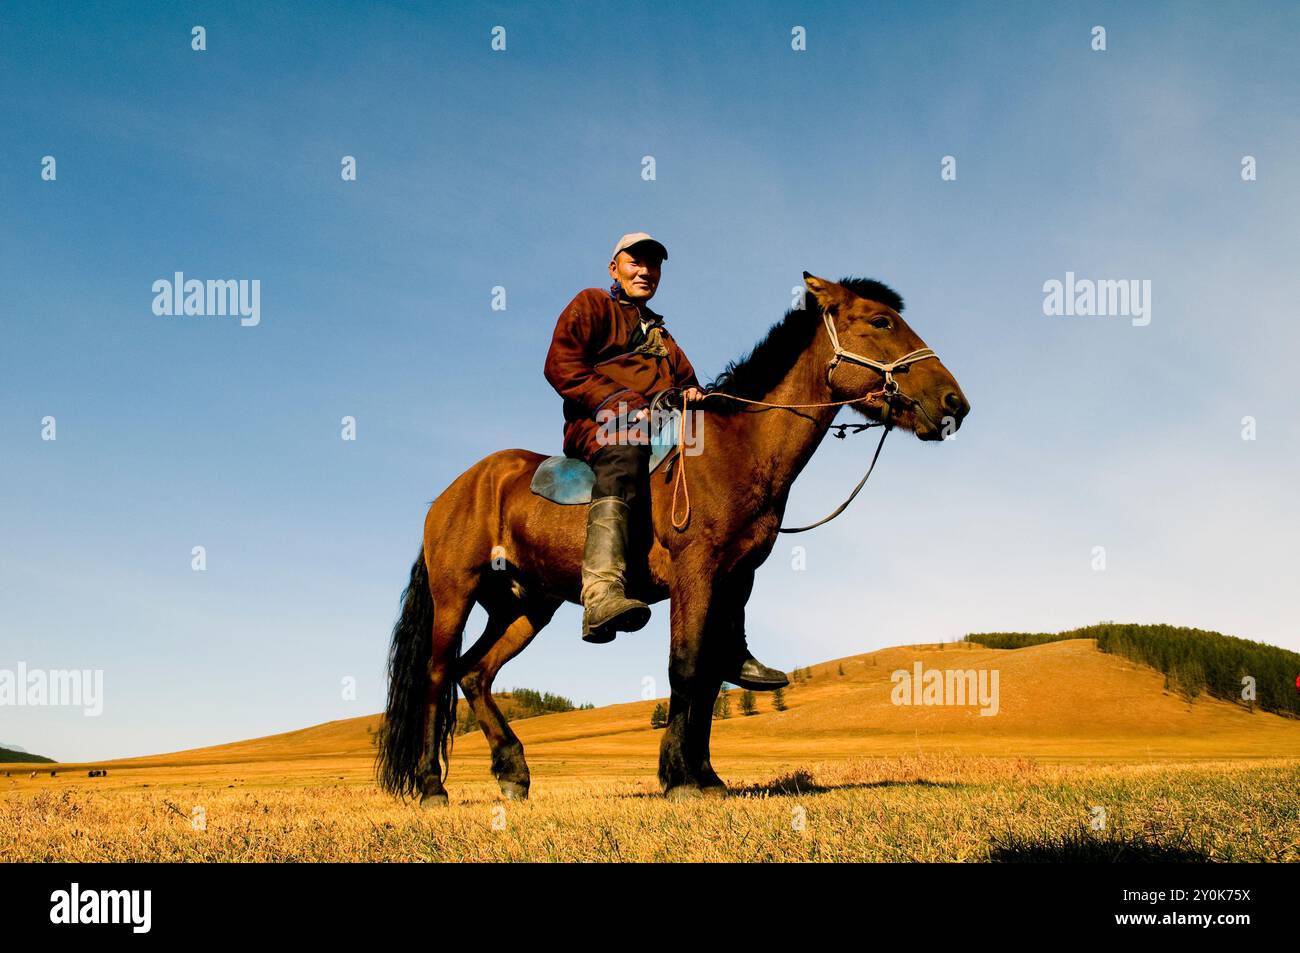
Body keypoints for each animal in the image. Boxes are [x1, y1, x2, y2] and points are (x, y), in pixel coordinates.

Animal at [376, 272, 970, 804]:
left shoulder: (735, 576)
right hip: (457, 593)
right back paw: (431, 787)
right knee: (437, 676)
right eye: (881, 321)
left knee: (474, 673)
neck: (736, 449)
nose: (954, 404)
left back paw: (514, 772)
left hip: (526, 606)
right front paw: (680, 778)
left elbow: (709, 673)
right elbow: (684, 667)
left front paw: (707, 776)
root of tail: (449, 494)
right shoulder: (694, 570)